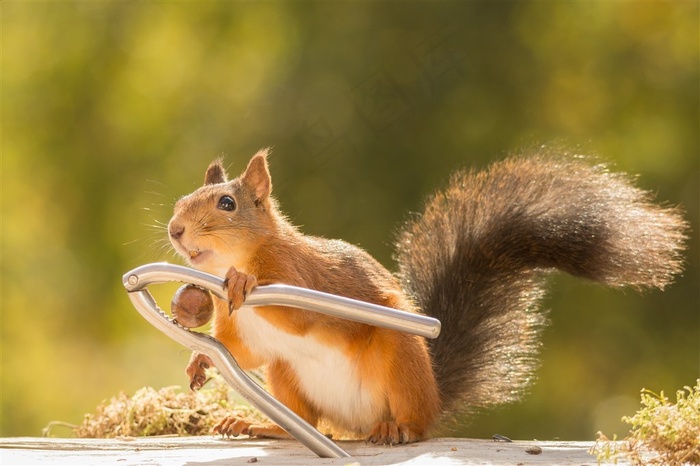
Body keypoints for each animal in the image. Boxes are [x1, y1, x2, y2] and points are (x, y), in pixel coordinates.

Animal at [167, 147, 688, 444]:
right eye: (180, 201)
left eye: (227, 204)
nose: (174, 230)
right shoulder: (242, 333)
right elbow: (241, 351)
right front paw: (199, 360)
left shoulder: (305, 278)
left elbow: (295, 313)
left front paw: (243, 281)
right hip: (287, 375)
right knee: (306, 423)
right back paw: (260, 425)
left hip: (399, 357)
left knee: (412, 423)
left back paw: (396, 428)